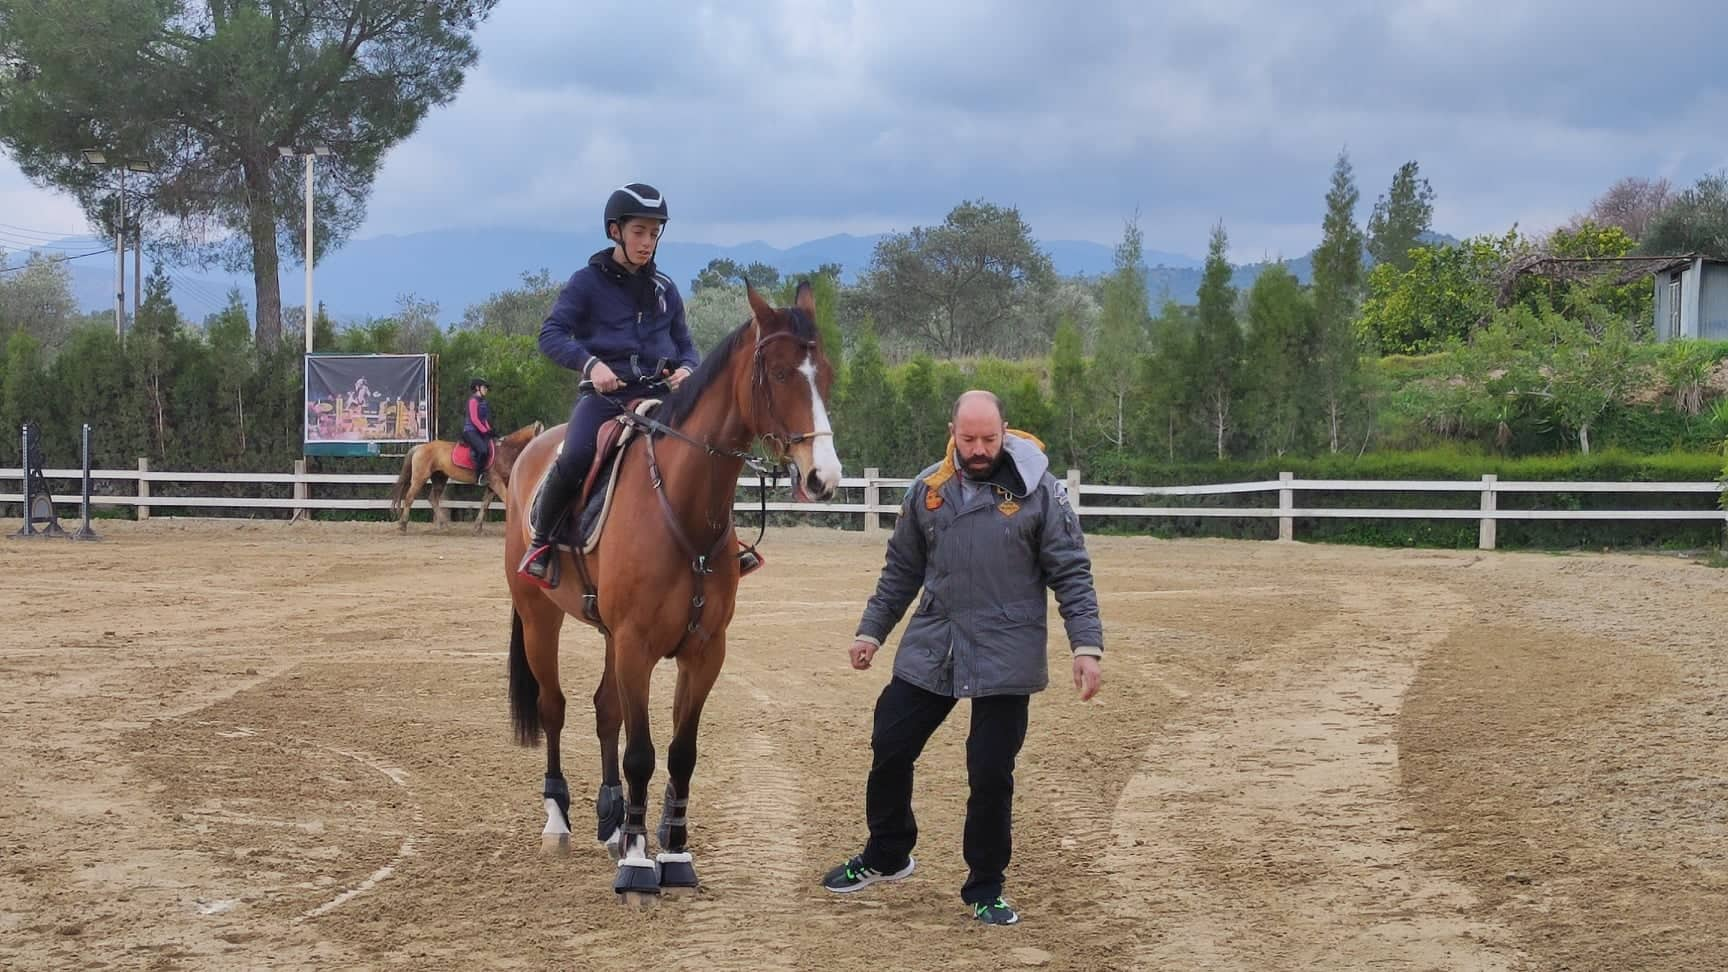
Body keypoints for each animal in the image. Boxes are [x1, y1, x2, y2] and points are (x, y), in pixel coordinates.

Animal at [388, 420, 542, 532]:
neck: (505, 450)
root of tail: (420, 447)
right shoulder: (496, 482)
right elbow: (506, 499)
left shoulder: (492, 485)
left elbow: (485, 504)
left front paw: (477, 527)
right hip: (420, 478)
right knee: (410, 497)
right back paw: (403, 525)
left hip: (440, 478)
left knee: (433, 498)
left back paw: (444, 525)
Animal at [501, 280, 843, 899]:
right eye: (781, 373)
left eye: (823, 373)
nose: (822, 477)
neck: (682, 508)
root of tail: (529, 455)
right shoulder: (637, 645)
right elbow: (641, 753)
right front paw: (639, 864)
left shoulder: (703, 651)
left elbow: (681, 753)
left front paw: (674, 853)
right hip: (541, 619)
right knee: (554, 709)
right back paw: (560, 820)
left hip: (608, 637)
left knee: (604, 710)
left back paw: (612, 822)